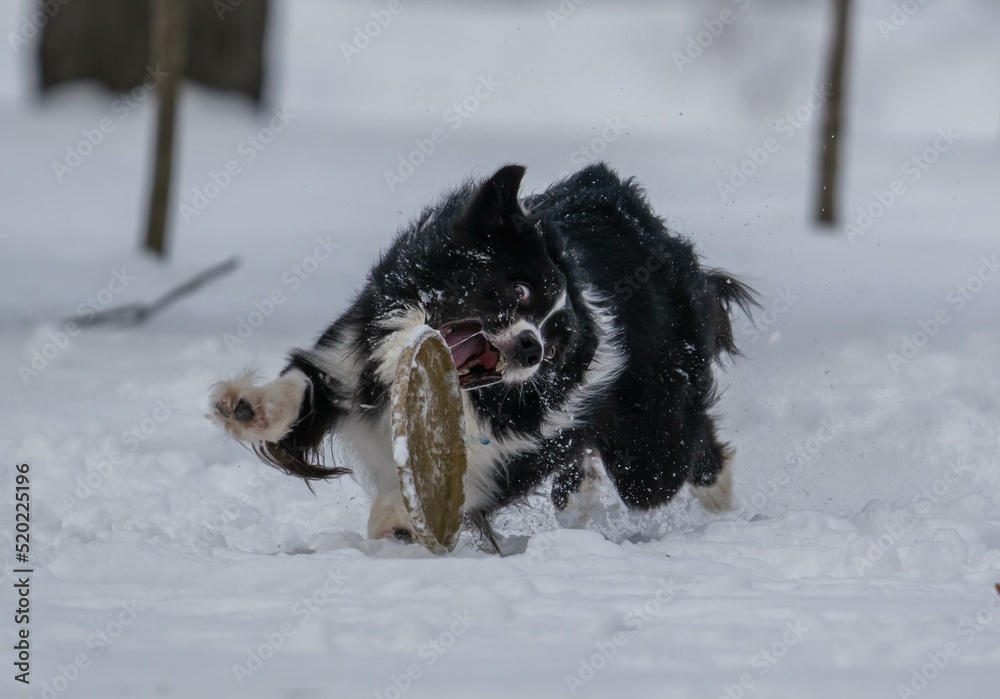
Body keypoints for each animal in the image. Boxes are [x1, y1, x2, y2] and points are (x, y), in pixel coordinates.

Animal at [213, 165, 756, 548]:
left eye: (556, 341)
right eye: (518, 289)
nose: (533, 347)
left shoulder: (507, 453)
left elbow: (460, 486)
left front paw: (397, 520)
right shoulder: (351, 355)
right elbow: (303, 385)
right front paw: (247, 408)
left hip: (648, 431)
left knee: (672, 459)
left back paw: (722, 498)